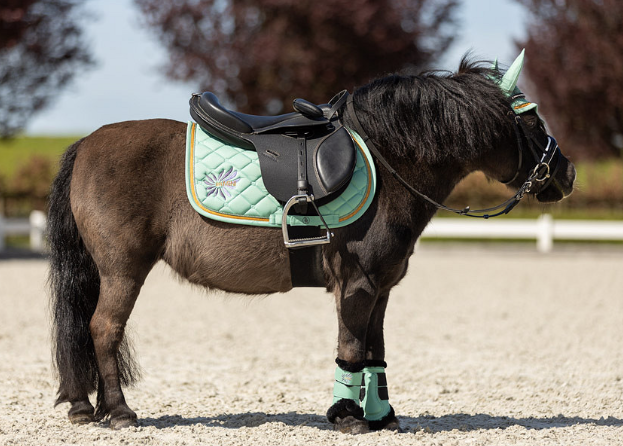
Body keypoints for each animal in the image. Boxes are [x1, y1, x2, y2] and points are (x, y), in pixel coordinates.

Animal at [47, 59, 576, 432]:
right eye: (532, 121)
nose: (567, 174)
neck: (387, 162)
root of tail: (85, 144)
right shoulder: (357, 284)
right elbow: (351, 347)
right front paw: (348, 416)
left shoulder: (381, 289)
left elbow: (375, 352)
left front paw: (382, 415)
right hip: (123, 270)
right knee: (103, 328)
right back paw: (118, 411)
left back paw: (87, 406)